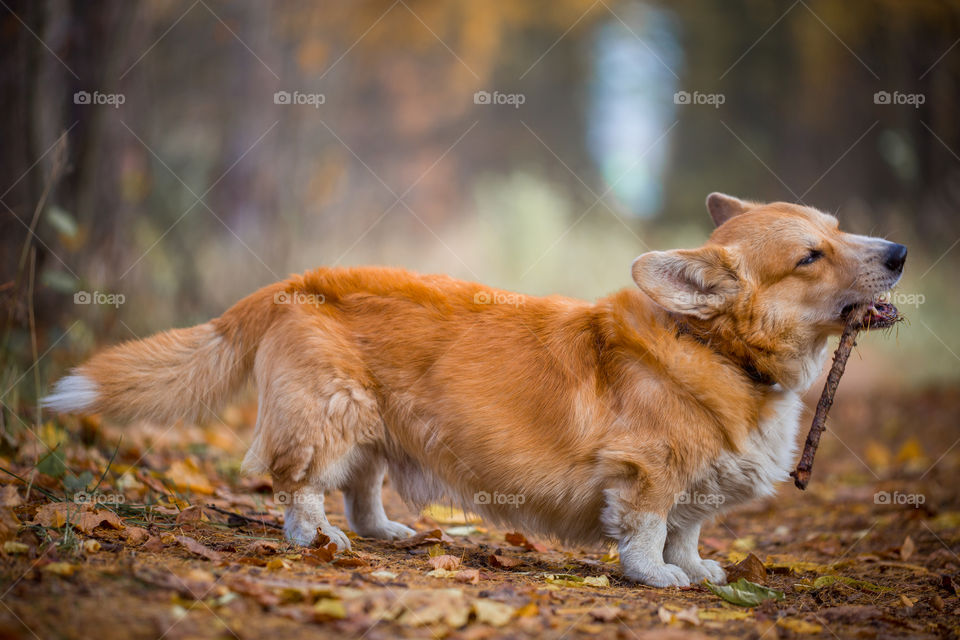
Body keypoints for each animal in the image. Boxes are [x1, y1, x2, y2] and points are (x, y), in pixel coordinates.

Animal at [43, 192, 908, 588]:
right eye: (810, 256)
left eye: (839, 228)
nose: (900, 252)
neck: (718, 350)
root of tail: (295, 283)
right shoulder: (646, 474)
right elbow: (648, 530)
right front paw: (657, 576)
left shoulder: (698, 485)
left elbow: (690, 531)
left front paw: (696, 571)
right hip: (331, 412)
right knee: (303, 486)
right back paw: (316, 540)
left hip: (378, 422)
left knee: (363, 485)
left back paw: (386, 533)